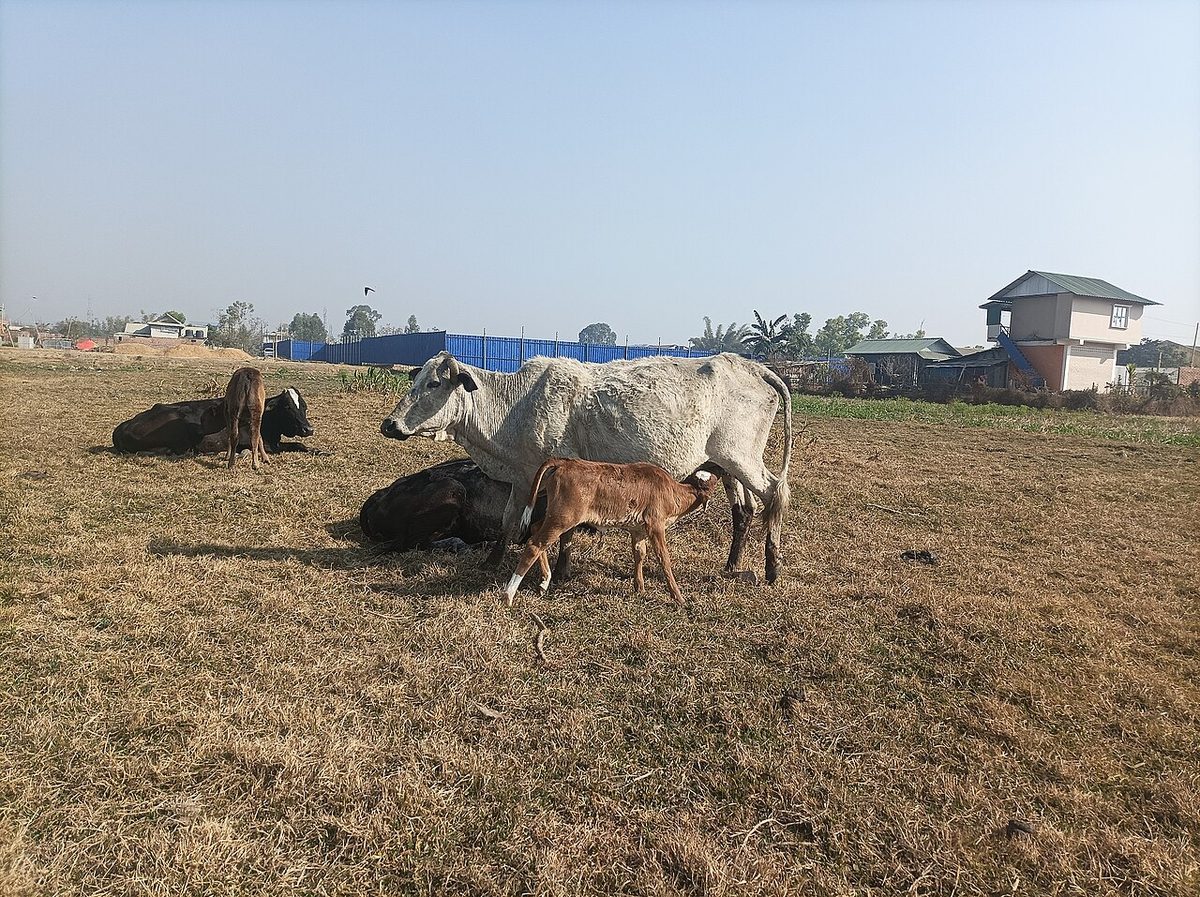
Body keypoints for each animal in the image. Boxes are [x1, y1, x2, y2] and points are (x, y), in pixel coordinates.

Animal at [380, 351, 793, 583]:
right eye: (417, 379)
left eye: (434, 383)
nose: (390, 425)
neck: (514, 405)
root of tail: (751, 366)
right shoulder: (523, 477)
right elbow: (509, 522)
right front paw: (492, 562)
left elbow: (562, 531)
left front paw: (561, 572)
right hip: (724, 465)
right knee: (744, 511)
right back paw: (732, 565)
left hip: (742, 458)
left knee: (774, 494)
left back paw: (772, 568)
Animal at [503, 459, 720, 606]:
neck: (673, 492)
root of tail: (566, 461)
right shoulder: (655, 525)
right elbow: (663, 559)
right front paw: (678, 597)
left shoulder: (638, 530)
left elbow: (639, 554)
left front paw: (640, 588)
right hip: (563, 517)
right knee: (535, 544)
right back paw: (509, 594)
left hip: (556, 514)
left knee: (535, 529)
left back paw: (544, 580)